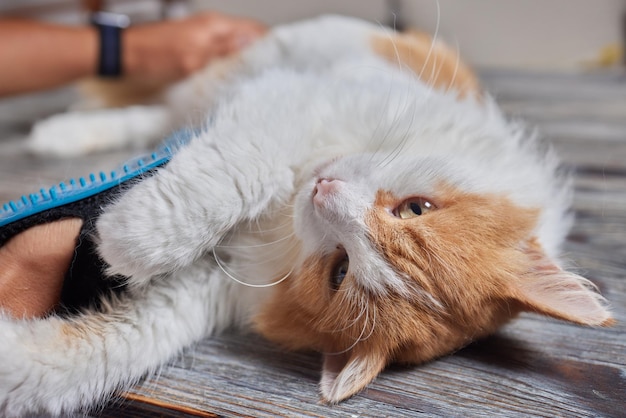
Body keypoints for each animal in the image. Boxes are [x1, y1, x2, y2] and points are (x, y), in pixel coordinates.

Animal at [0, 14, 608, 416]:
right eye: (416, 208)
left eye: (340, 270)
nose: (323, 191)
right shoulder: (291, 106)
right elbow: (241, 173)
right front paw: (133, 235)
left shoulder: (213, 283)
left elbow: (110, 346)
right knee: (158, 114)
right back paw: (65, 134)